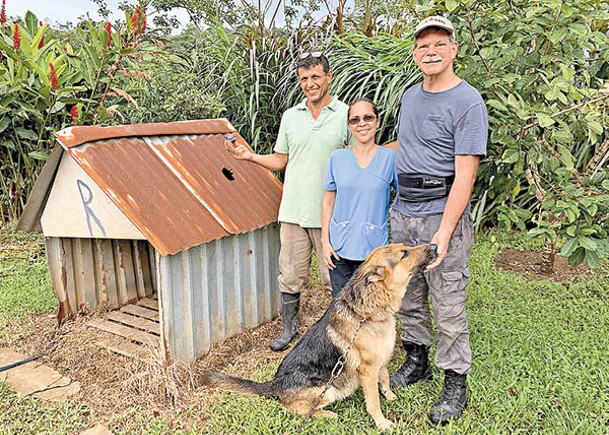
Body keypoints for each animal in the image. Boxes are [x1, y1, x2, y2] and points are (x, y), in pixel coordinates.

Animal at [202, 244, 434, 430]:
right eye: (404, 253)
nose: (433, 246)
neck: (366, 313)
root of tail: (275, 383)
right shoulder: (367, 370)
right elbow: (373, 402)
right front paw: (382, 423)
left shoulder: (380, 361)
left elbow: (384, 379)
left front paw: (390, 395)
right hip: (327, 391)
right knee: (295, 408)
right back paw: (327, 414)